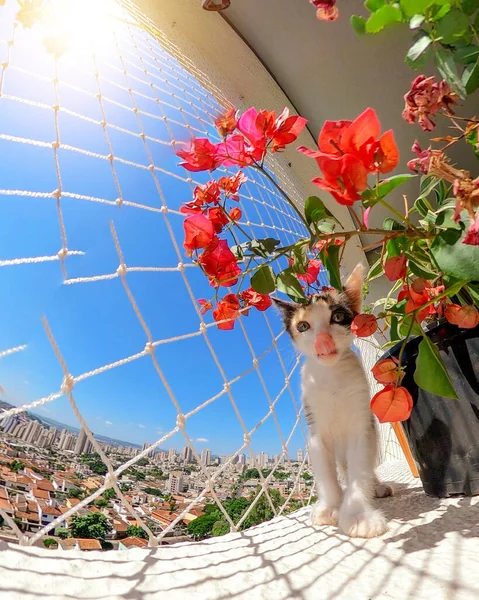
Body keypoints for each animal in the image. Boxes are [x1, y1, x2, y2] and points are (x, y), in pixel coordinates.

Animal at [276, 264, 392, 536]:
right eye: (303, 326)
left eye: (338, 317)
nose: (323, 340)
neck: (332, 377)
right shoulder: (315, 427)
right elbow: (326, 473)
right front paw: (330, 507)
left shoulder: (361, 423)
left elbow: (359, 470)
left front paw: (358, 515)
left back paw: (376, 486)